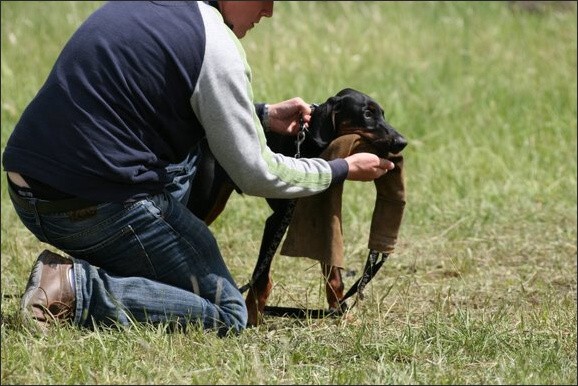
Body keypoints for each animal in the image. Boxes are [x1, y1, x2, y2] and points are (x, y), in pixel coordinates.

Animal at [187, 88, 402, 326]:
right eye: (367, 113)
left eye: (382, 114)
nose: (402, 142)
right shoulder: (278, 219)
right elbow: (261, 277)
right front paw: (252, 317)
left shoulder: (322, 214)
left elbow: (333, 273)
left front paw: (342, 312)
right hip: (205, 201)